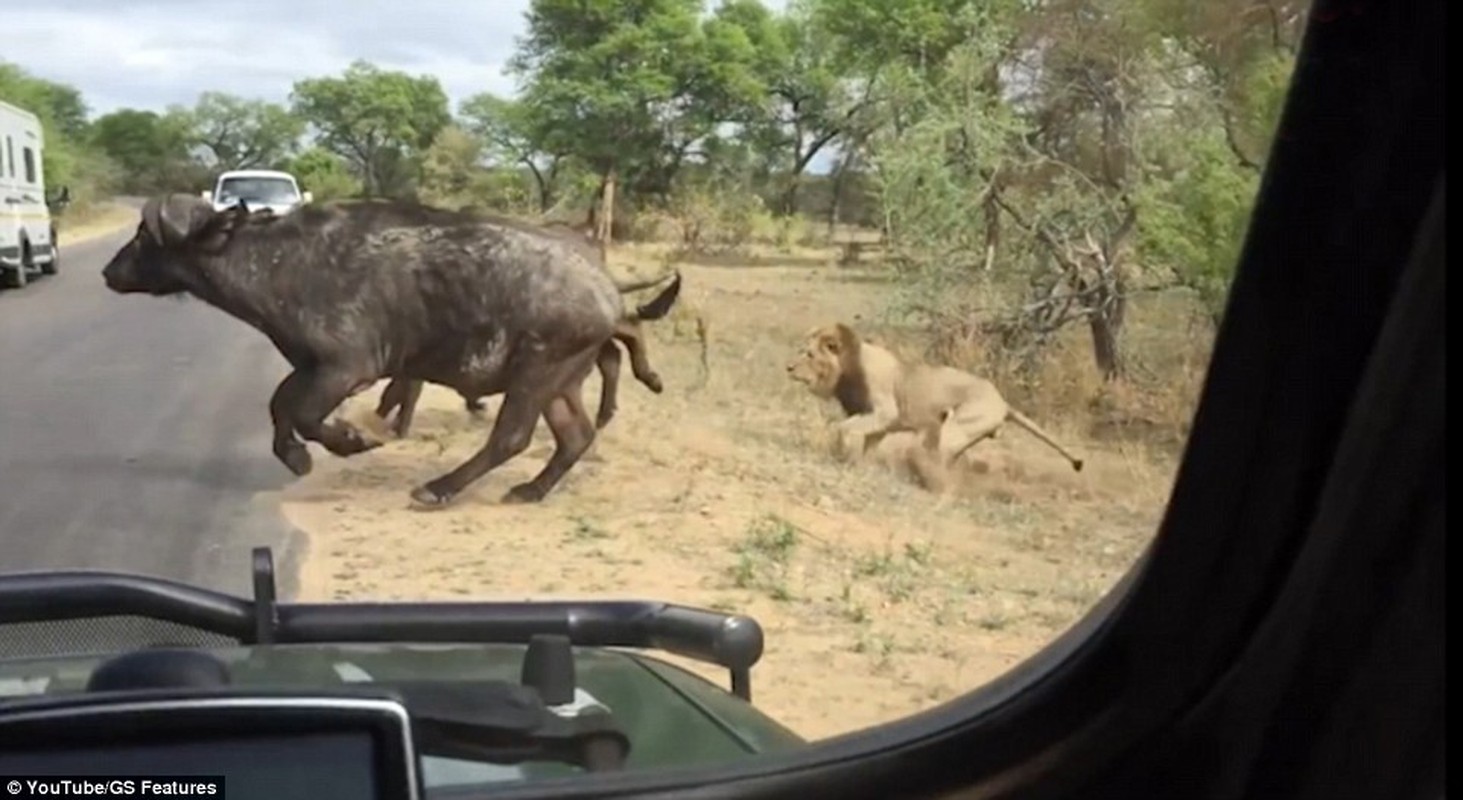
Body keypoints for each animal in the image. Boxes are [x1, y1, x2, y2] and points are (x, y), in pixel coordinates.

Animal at [103, 194, 684, 506]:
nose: (110, 271)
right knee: (574, 436)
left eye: (144, 236)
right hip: (561, 380)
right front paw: (296, 456)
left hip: (535, 372)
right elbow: (279, 404)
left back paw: (439, 488)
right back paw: (529, 491)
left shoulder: (348, 369)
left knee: (512, 437)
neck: (277, 260)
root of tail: (607, 290)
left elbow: (304, 412)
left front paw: (349, 441)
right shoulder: (311, 365)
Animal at [790, 321, 1088, 485]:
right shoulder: (878, 422)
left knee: (942, 464)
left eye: (810, 354)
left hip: (956, 427)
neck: (844, 372)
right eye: (802, 350)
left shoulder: (885, 412)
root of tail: (1003, 403)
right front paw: (861, 465)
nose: (788, 367)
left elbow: (843, 427)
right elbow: (868, 444)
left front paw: (841, 452)